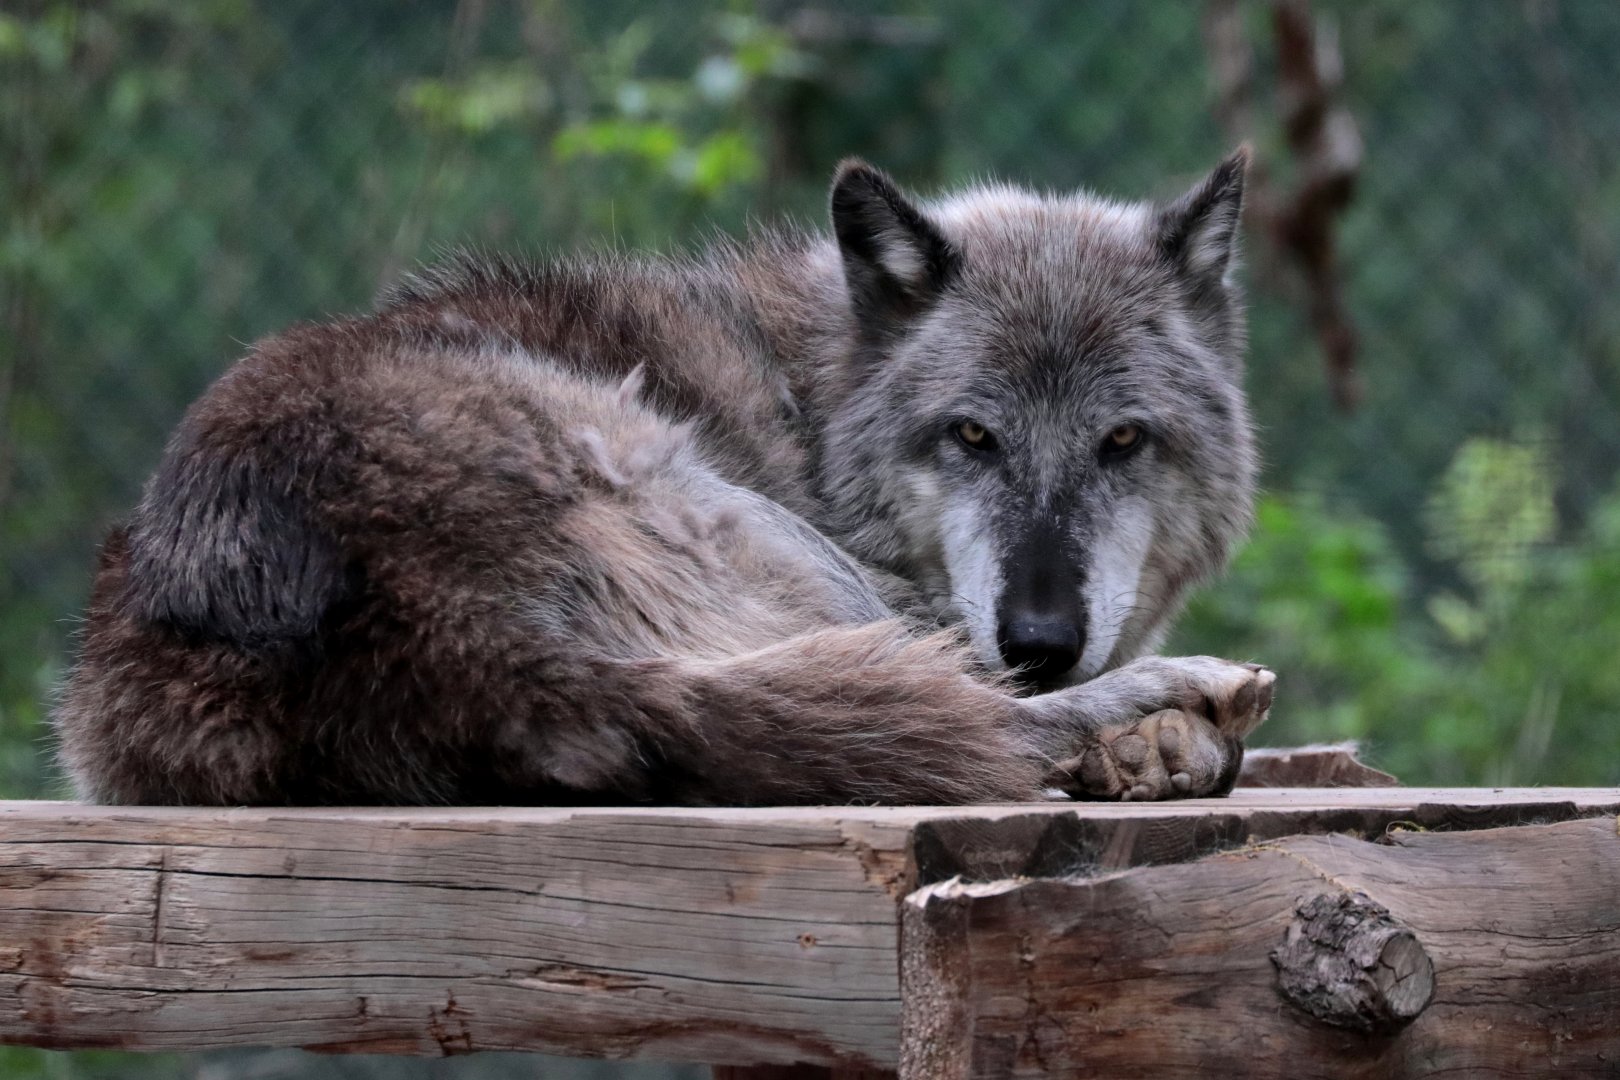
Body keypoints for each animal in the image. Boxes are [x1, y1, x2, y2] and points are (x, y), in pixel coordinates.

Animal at [54, 151, 1272, 807]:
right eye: (972, 437)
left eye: (1124, 441)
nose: (1042, 637)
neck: (810, 399)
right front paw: (1158, 728)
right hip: (742, 520)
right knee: (984, 723)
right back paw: (1178, 696)